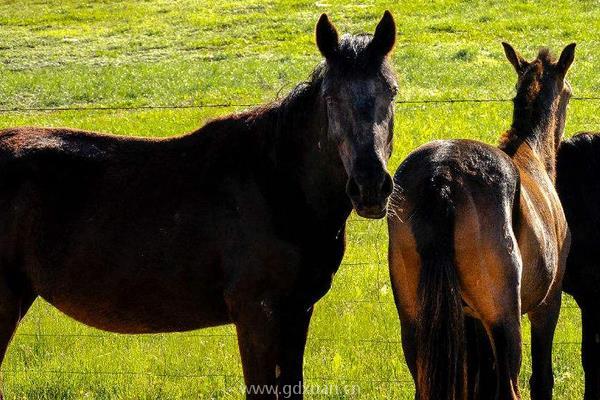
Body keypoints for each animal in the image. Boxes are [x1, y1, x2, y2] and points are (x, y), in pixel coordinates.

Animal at [0, 10, 398, 398]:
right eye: (331, 97)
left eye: (391, 92)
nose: (370, 186)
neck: (277, 183)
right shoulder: (258, 316)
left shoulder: (297, 312)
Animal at [386, 42, 576, 398]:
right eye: (569, 93)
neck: (530, 152)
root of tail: (443, 177)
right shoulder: (548, 304)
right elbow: (542, 379)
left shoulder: (469, 322)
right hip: (504, 321)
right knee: (510, 387)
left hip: (416, 323)